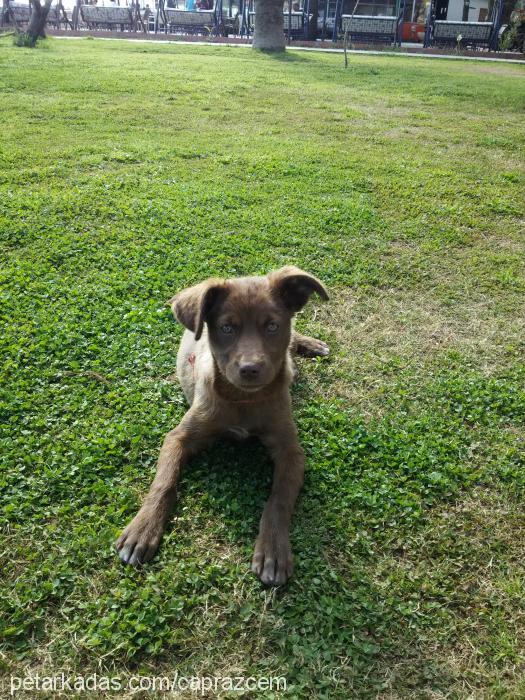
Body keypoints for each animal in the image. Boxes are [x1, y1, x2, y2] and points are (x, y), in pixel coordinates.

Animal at [115, 266, 328, 584]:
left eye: (272, 326)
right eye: (227, 328)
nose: (250, 369)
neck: (243, 400)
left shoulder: (291, 450)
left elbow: (278, 500)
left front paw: (273, 551)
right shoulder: (179, 437)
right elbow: (164, 481)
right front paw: (143, 528)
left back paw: (310, 346)